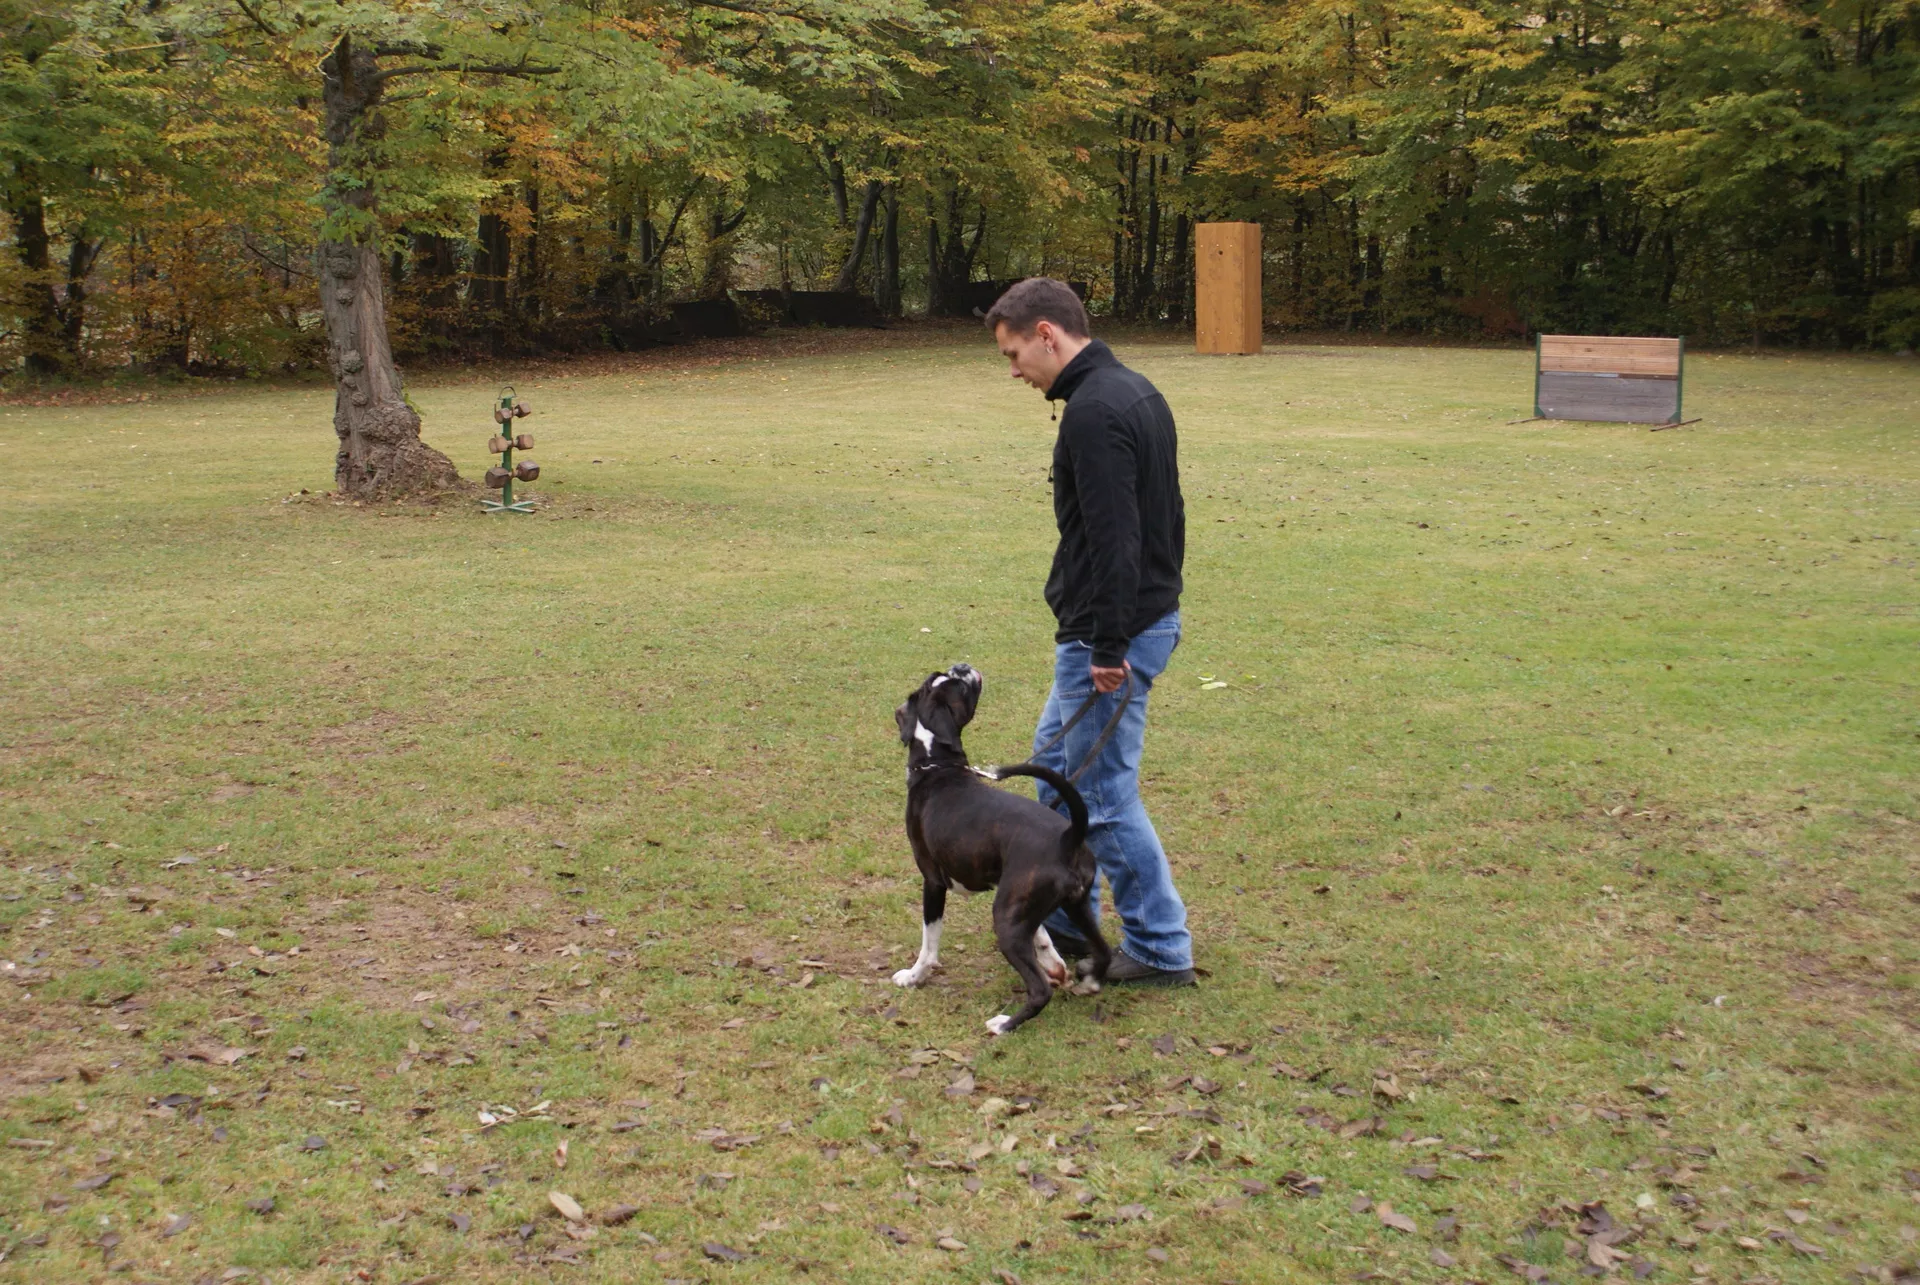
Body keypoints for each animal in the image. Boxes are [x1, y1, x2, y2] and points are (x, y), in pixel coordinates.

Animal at [892, 663, 1112, 1035]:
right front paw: (1054, 964)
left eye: (954, 685)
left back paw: (1004, 1025)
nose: (962, 667)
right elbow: (1042, 936)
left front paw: (914, 976)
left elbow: (929, 942)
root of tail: (1069, 837)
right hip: (1074, 906)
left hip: (1006, 921)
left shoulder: (933, 883)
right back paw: (1088, 983)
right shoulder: (1018, 901)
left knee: (1039, 991)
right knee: (1104, 952)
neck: (938, 767)